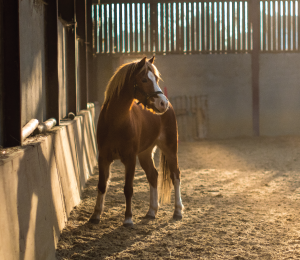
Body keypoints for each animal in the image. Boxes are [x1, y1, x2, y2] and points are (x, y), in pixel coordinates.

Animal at [88, 56, 183, 225]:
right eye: (144, 79)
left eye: (156, 78)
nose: (162, 103)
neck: (116, 122)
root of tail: (170, 107)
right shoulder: (103, 158)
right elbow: (102, 185)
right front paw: (96, 215)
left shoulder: (130, 159)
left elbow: (128, 188)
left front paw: (128, 219)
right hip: (145, 154)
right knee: (153, 175)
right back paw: (151, 211)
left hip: (170, 148)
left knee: (175, 175)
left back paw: (178, 211)